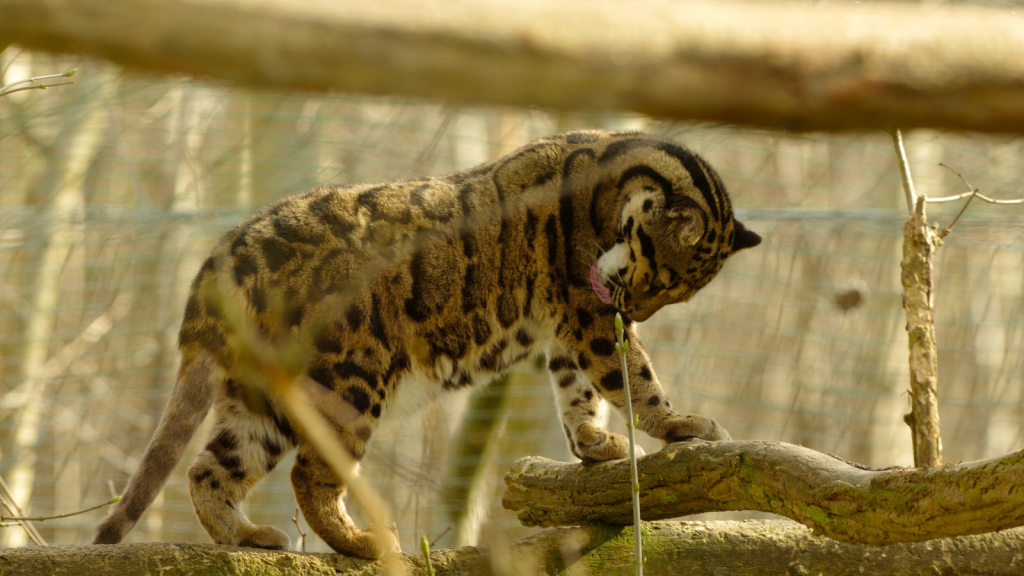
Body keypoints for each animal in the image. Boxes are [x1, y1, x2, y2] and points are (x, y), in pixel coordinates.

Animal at [94, 129, 761, 557]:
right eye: (661, 281)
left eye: (673, 295)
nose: (631, 310)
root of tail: (226, 253)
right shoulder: (586, 314)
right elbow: (632, 377)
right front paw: (678, 425)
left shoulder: (570, 326)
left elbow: (579, 391)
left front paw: (594, 444)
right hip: (350, 381)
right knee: (309, 474)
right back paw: (362, 543)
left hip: (263, 398)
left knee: (210, 468)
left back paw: (247, 537)